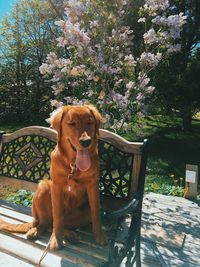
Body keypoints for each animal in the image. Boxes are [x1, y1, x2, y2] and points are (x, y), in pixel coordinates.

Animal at [0, 105, 106, 251]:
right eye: (72, 124)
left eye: (90, 123)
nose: (86, 142)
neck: (73, 164)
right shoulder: (57, 185)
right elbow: (57, 216)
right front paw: (56, 238)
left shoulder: (93, 185)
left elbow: (96, 213)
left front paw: (99, 236)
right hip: (44, 186)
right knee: (47, 222)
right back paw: (36, 231)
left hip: (84, 212)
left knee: (58, 223)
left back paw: (70, 235)